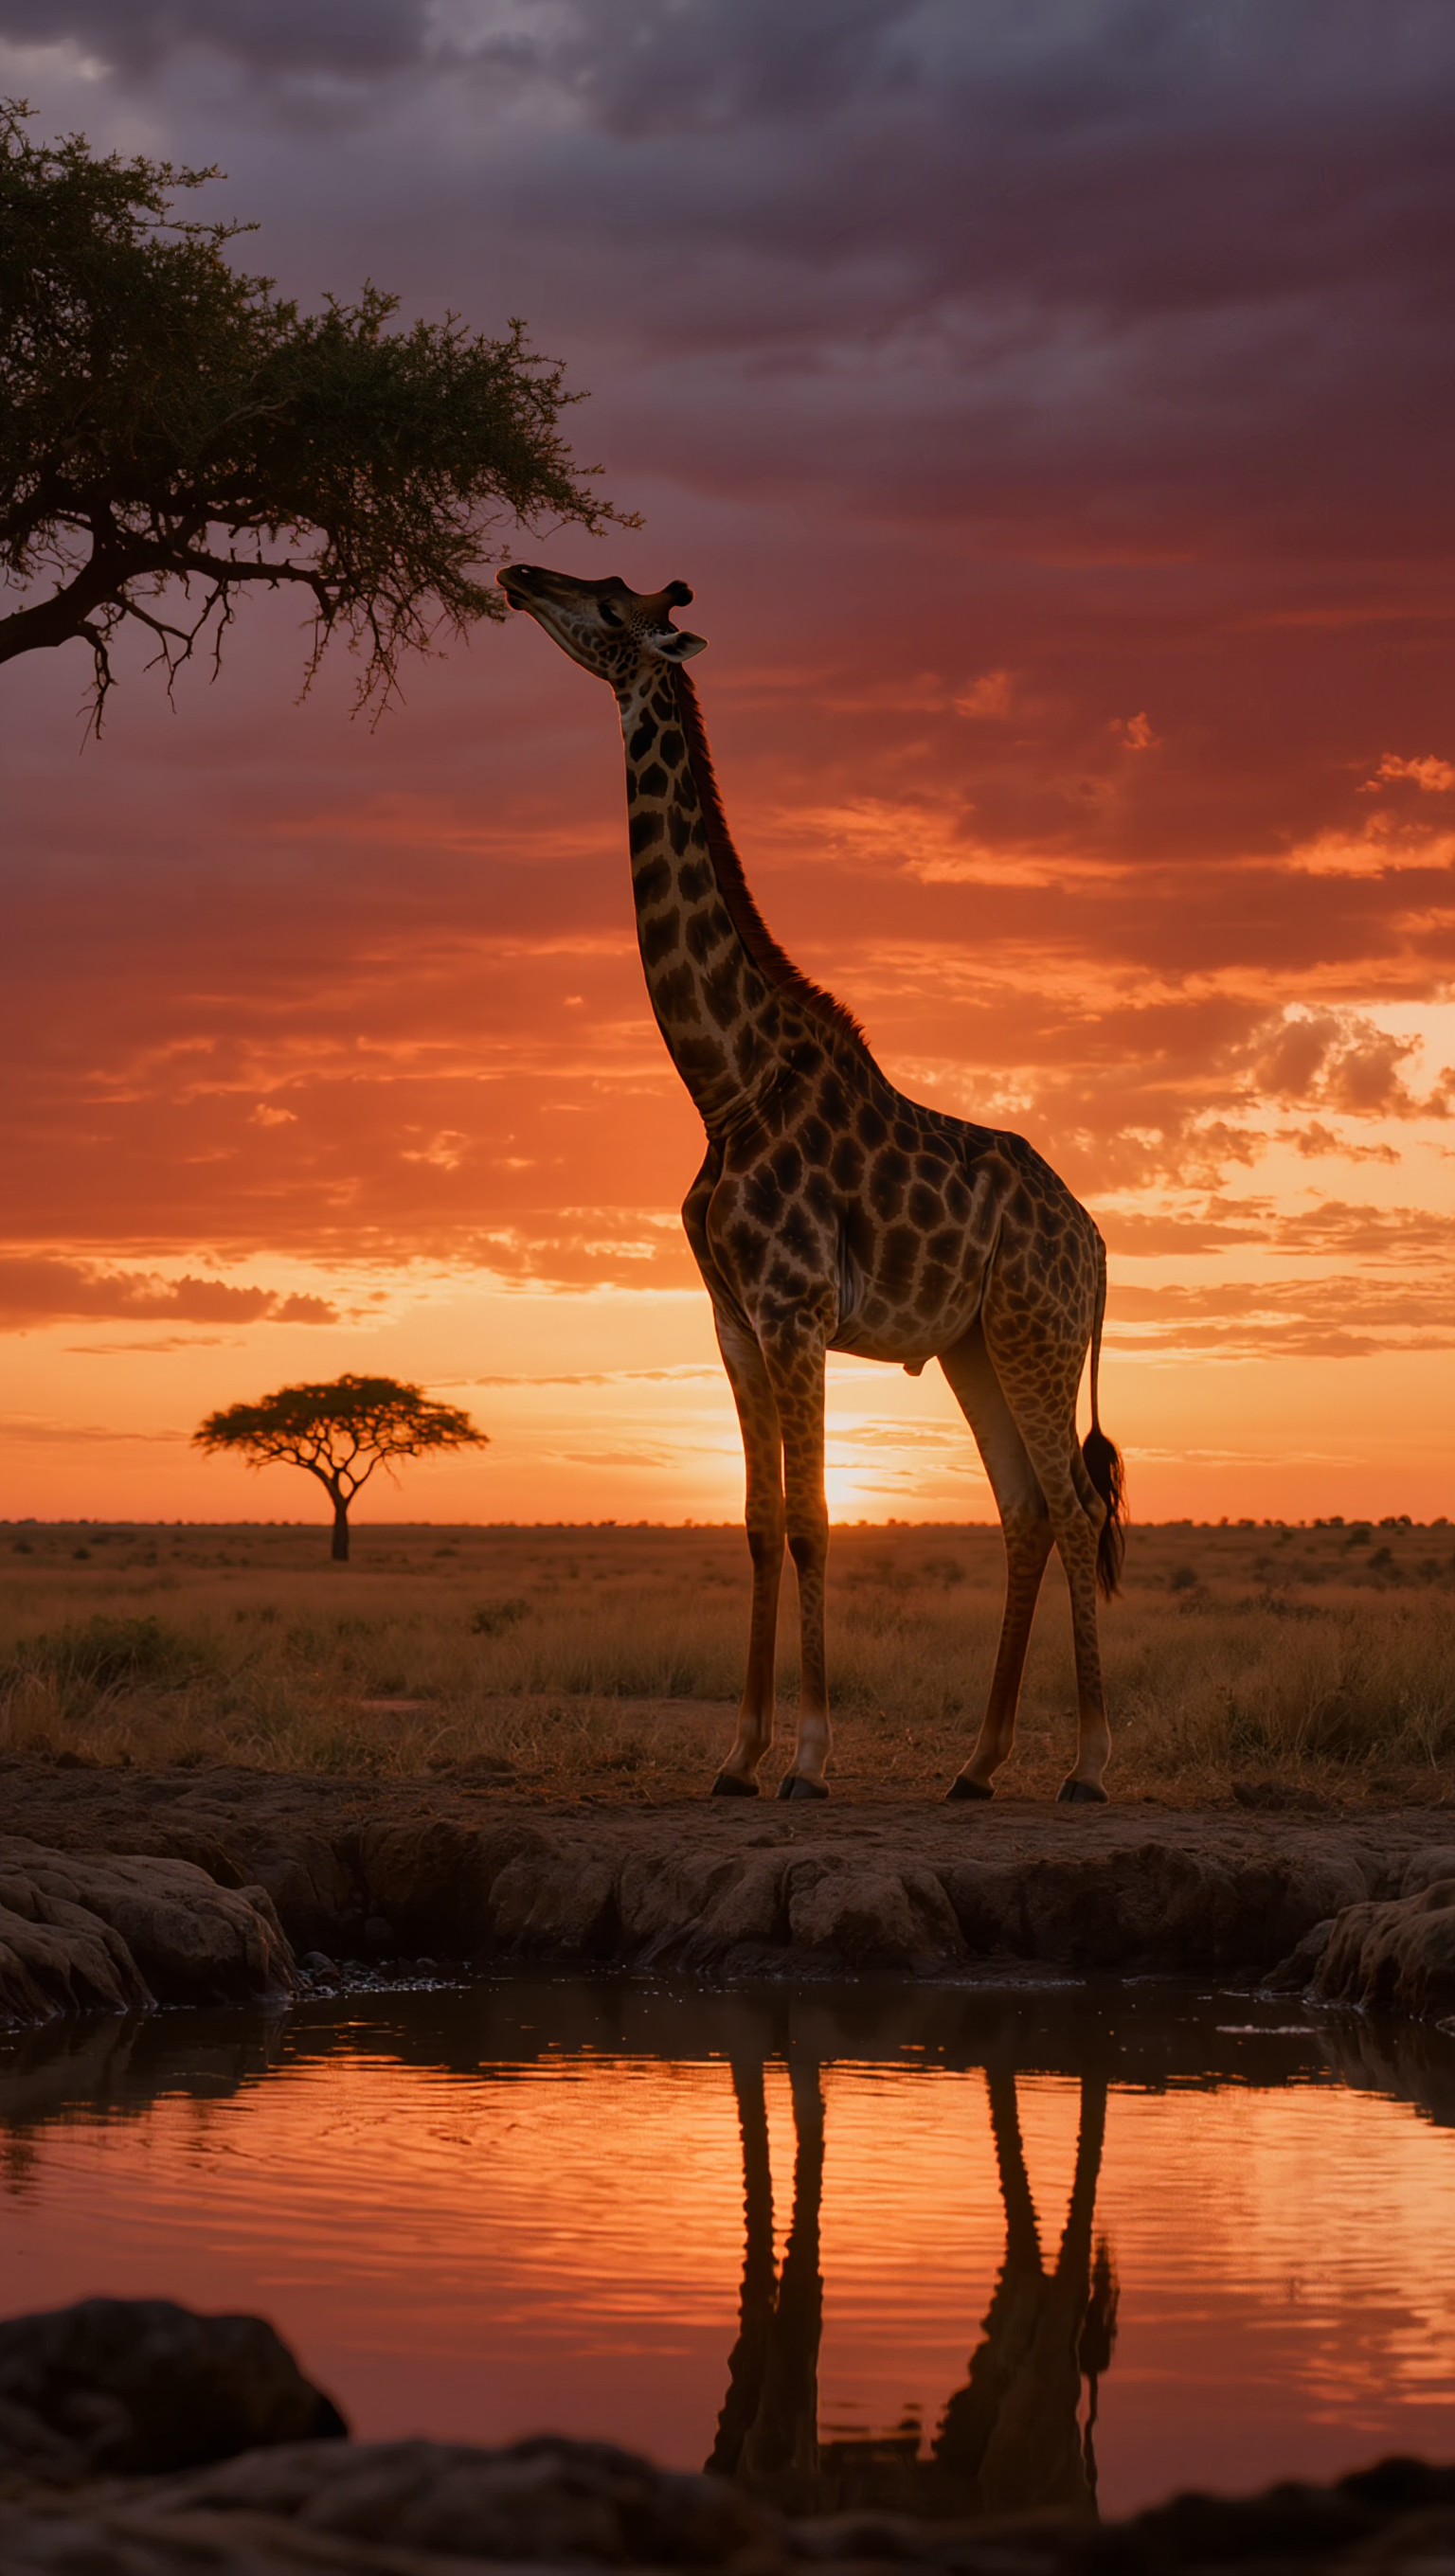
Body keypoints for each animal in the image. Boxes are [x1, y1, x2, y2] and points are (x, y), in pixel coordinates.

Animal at [498, 563, 1125, 1804]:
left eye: (607, 601)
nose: (517, 575)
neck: (724, 1079)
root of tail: (1096, 1241)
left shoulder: (796, 1308)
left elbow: (815, 1516)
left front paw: (809, 1756)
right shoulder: (733, 1320)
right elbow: (751, 1518)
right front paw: (735, 1755)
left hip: (1037, 1335)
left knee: (1076, 1510)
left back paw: (1084, 1765)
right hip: (979, 1345)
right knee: (1026, 1509)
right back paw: (976, 1764)